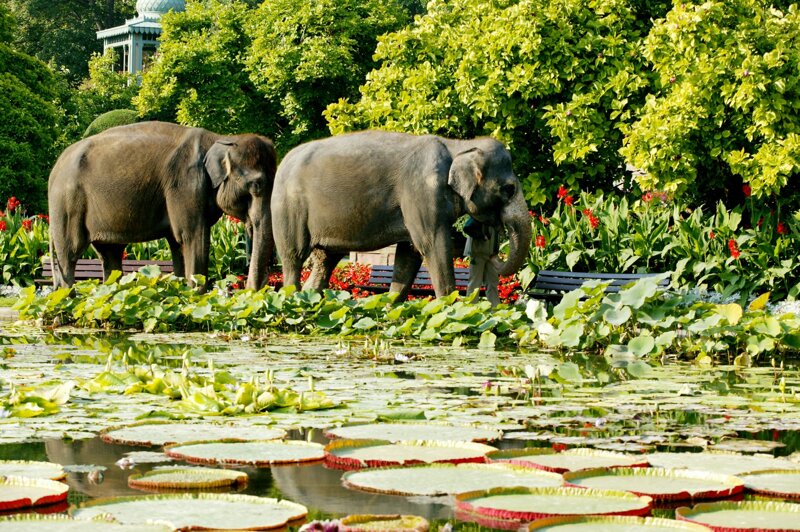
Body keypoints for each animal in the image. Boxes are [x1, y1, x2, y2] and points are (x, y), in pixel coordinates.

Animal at [48, 121, 277, 289]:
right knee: (70, 252)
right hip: (67, 202)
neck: (222, 138)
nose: (252, 289)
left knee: (110, 253)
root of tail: (55, 169)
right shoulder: (185, 185)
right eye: (256, 186)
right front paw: (196, 294)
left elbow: (178, 243)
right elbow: (192, 236)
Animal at [271, 130, 532, 300]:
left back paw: (309, 299)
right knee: (294, 256)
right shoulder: (421, 192)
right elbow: (432, 245)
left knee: (325, 259)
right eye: (508, 189)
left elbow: (410, 253)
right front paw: (448, 305)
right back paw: (291, 299)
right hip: (288, 208)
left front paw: (389, 308)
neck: (459, 146)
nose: (492, 244)